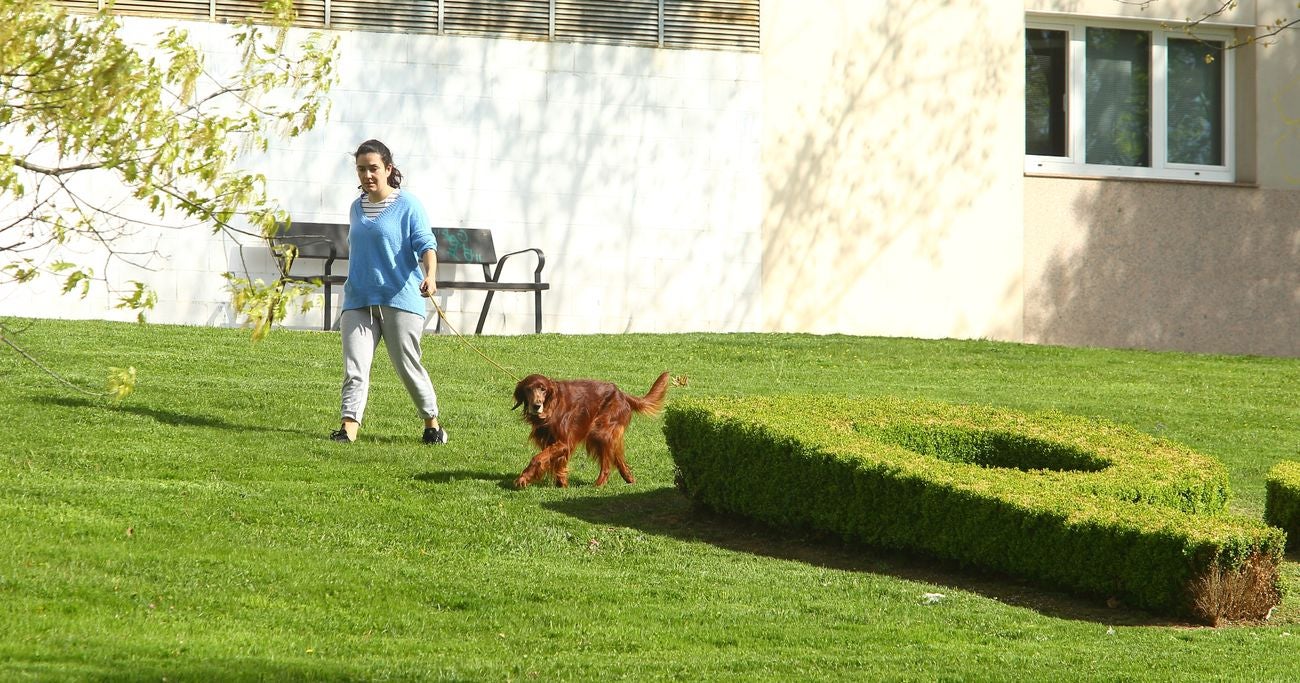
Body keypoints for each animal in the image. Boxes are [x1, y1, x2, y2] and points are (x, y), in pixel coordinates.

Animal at [509, 369, 670, 486]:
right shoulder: (550, 441)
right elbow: (557, 462)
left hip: (600, 432)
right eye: (528, 389)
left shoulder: (563, 442)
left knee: (606, 466)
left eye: (543, 389)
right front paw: (562, 484)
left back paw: (598, 485)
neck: (550, 406)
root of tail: (621, 394)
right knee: (618, 457)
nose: (536, 405)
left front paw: (523, 479)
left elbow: (537, 458)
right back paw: (629, 479)